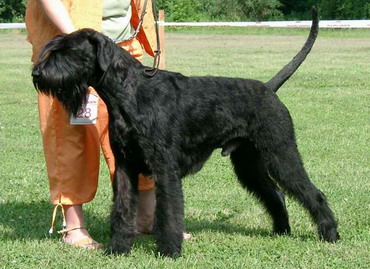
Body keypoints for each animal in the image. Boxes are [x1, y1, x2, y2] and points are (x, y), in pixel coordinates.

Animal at [32, 7, 338, 256]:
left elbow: (168, 211)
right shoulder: (125, 167)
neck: (129, 92)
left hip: (281, 154)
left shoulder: (165, 167)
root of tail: (269, 87)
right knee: (275, 193)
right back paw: (281, 230)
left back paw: (330, 234)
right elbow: (122, 209)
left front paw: (168, 251)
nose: (37, 74)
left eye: (66, 52)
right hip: (249, 164)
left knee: (312, 193)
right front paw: (117, 248)